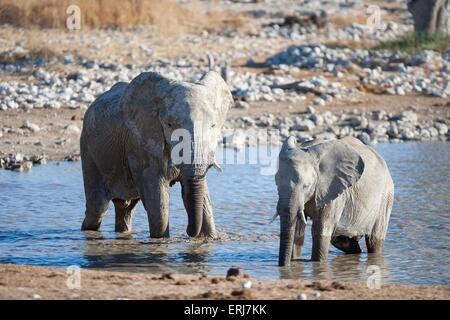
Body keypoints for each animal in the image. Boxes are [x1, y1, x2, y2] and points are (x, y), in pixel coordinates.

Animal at [79, 71, 232, 239]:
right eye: (169, 125)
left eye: (213, 126)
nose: (187, 232)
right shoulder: (141, 145)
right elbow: (158, 203)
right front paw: (161, 240)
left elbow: (203, 199)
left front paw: (209, 238)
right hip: (88, 151)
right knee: (97, 207)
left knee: (125, 209)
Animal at [274, 136, 394, 266]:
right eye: (276, 183)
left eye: (306, 186)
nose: (283, 266)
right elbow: (298, 232)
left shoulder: (331, 189)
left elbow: (320, 232)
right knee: (340, 239)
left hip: (386, 197)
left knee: (374, 241)